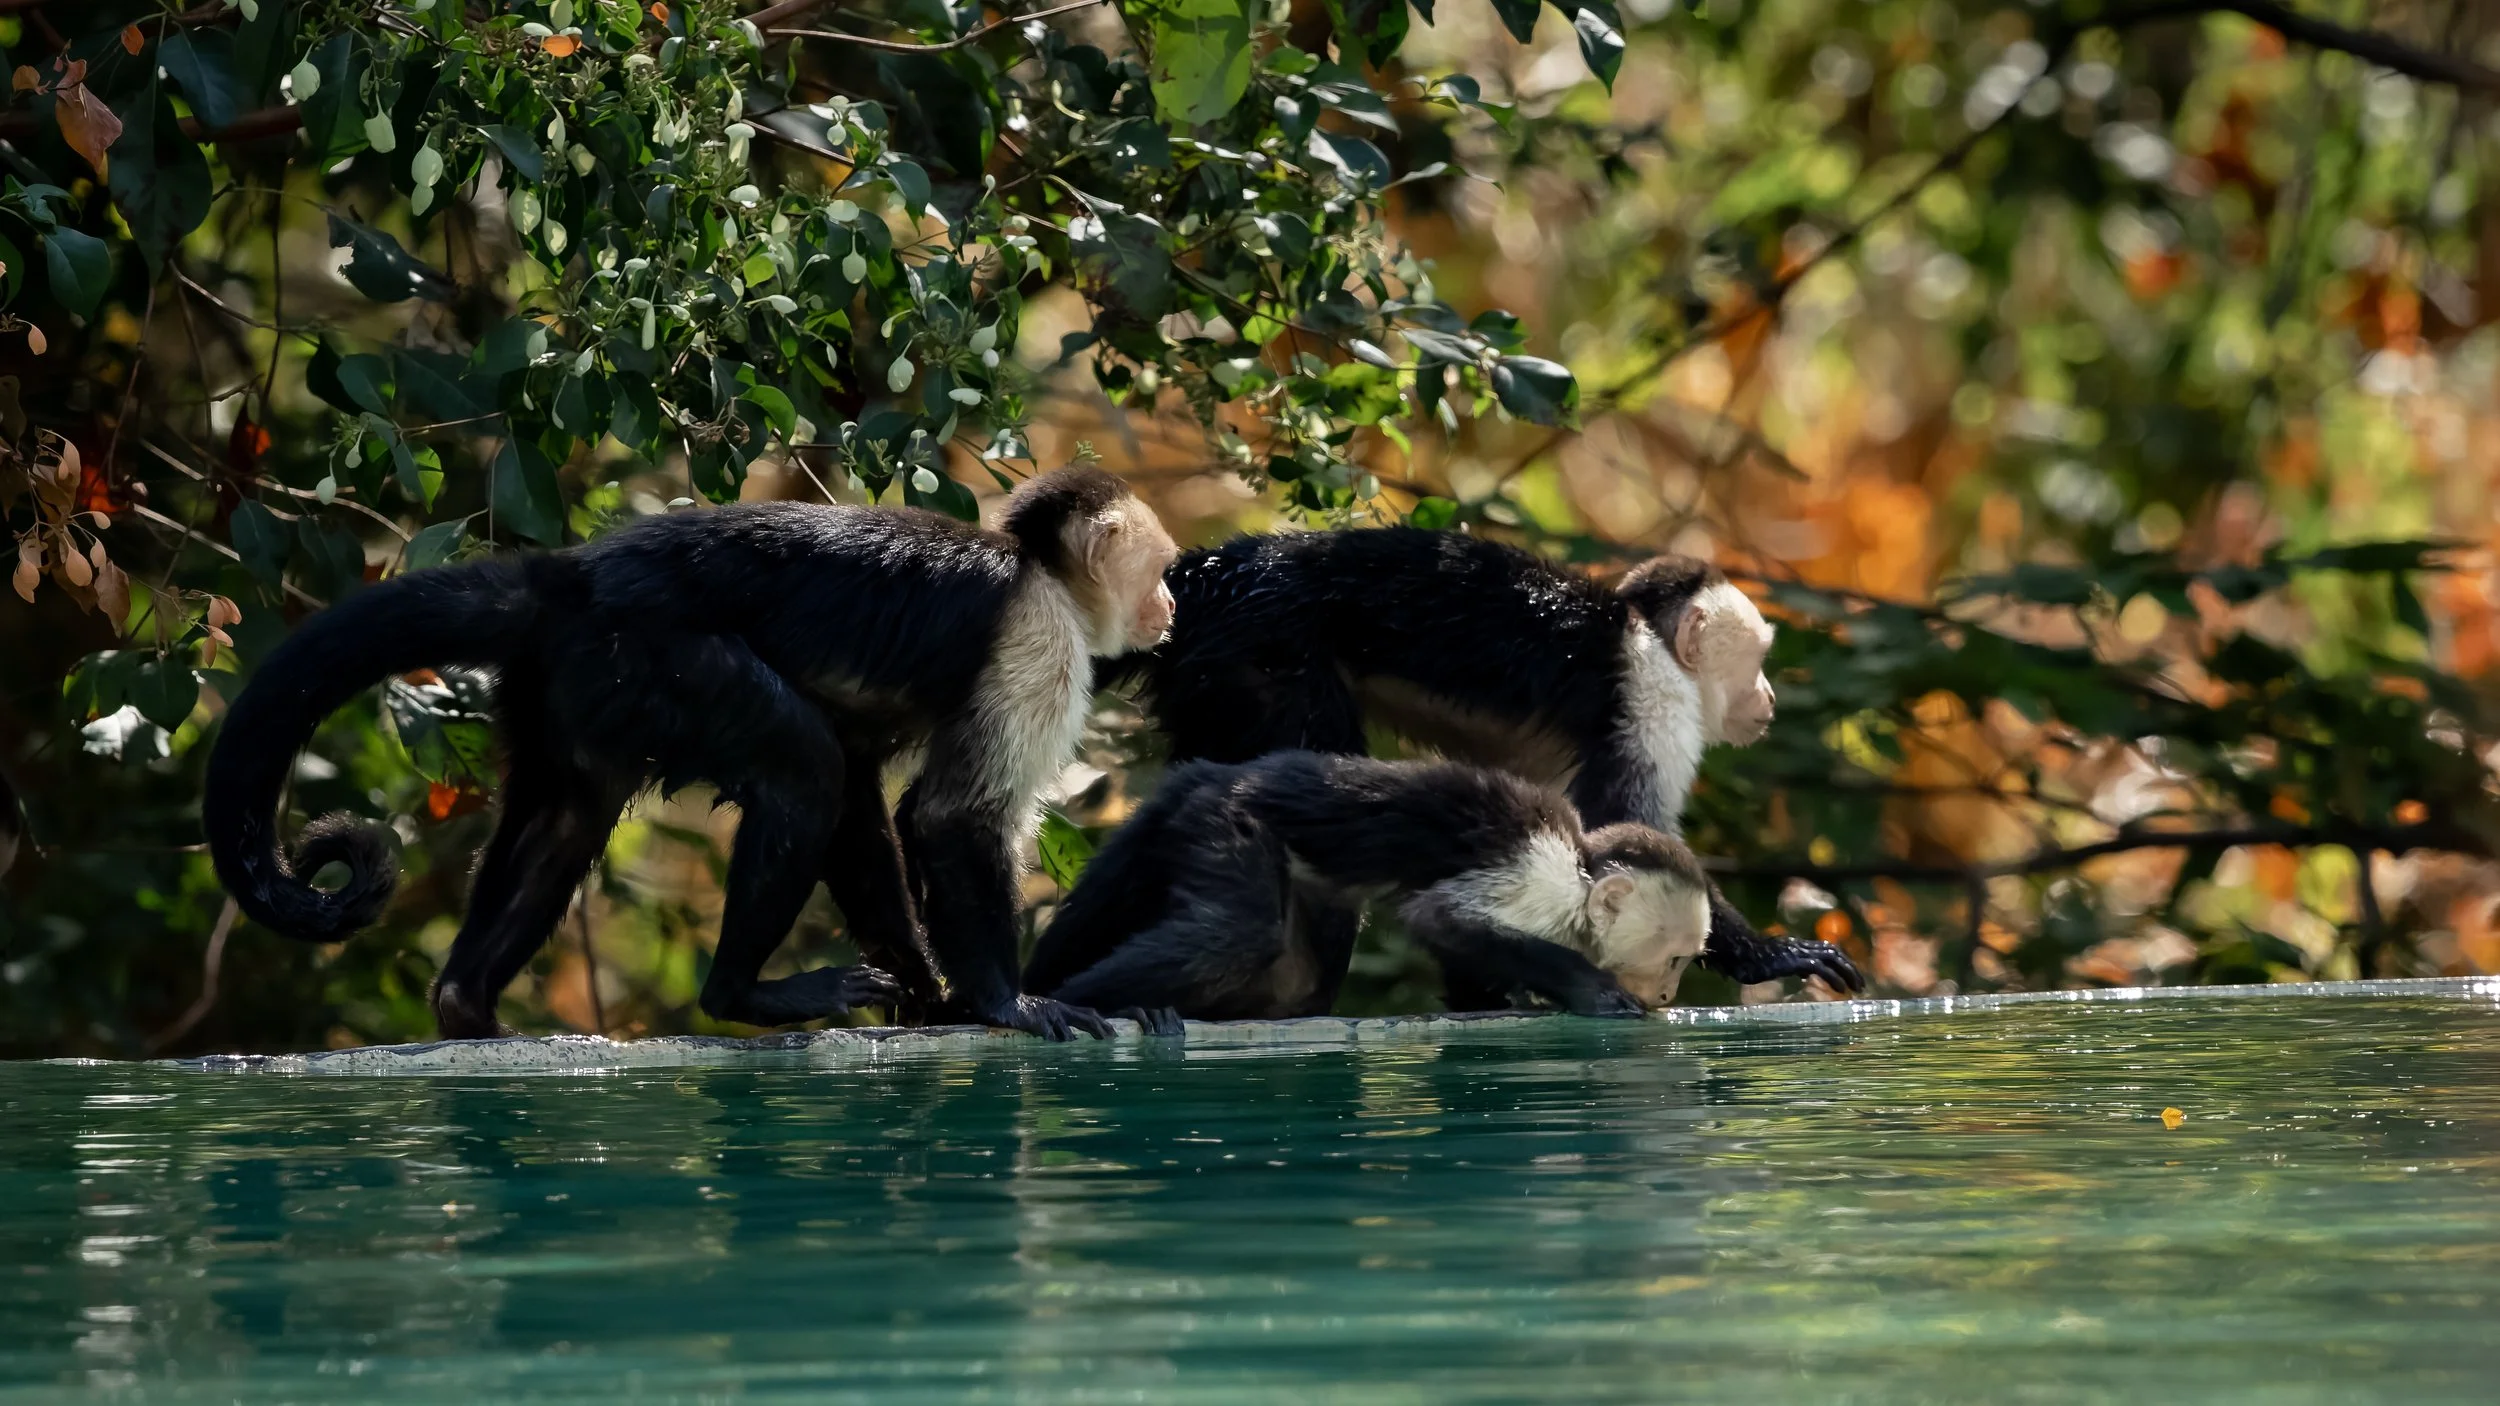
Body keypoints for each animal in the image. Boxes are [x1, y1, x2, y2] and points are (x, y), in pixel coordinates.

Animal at [203, 467, 1178, 1043]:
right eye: (1164, 569)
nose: (1169, 607)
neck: (1038, 569)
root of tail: (572, 575)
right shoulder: (1041, 640)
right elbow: (943, 815)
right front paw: (1004, 1002)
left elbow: (866, 801)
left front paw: (930, 995)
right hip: (655, 655)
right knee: (799, 767)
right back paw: (740, 996)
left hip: (579, 677)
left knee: (573, 813)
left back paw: (466, 1005)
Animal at [1022, 751, 1726, 1031]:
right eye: (1675, 960)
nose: (1669, 994)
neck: (1579, 873)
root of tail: (1219, 772)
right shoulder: (1539, 873)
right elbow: (1439, 916)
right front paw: (1590, 989)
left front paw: (1487, 999)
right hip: (1225, 818)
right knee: (1235, 935)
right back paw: (1085, 999)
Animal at [1113, 527, 1863, 1004]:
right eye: (1759, 661)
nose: (1768, 698)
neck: (1645, 633)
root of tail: (1209, 574)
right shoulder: (1658, 701)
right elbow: (1624, 830)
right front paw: (1769, 955)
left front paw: (1484, 990)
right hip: (1266, 653)